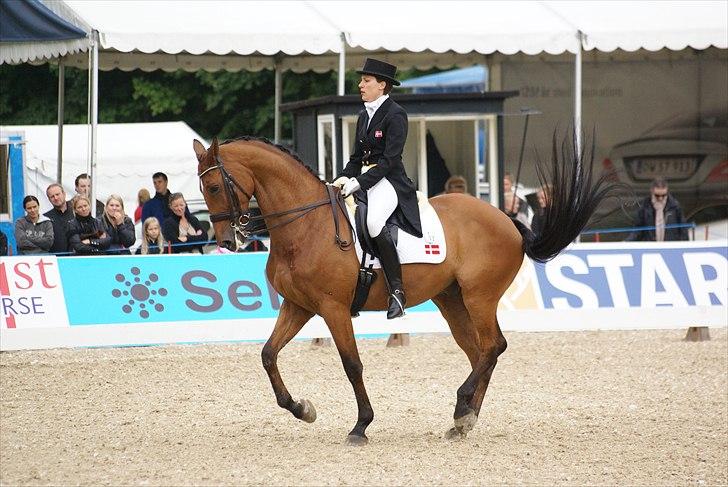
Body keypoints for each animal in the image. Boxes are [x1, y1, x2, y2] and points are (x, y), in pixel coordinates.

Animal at [192, 133, 608, 446]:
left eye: (213, 186)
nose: (227, 241)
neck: (305, 224)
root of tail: (507, 219)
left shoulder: (333, 308)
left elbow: (352, 364)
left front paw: (361, 426)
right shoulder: (298, 305)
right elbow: (268, 355)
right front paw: (302, 409)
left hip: (479, 297)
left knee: (493, 346)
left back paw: (462, 409)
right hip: (451, 300)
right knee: (479, 352)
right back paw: (464, 419)